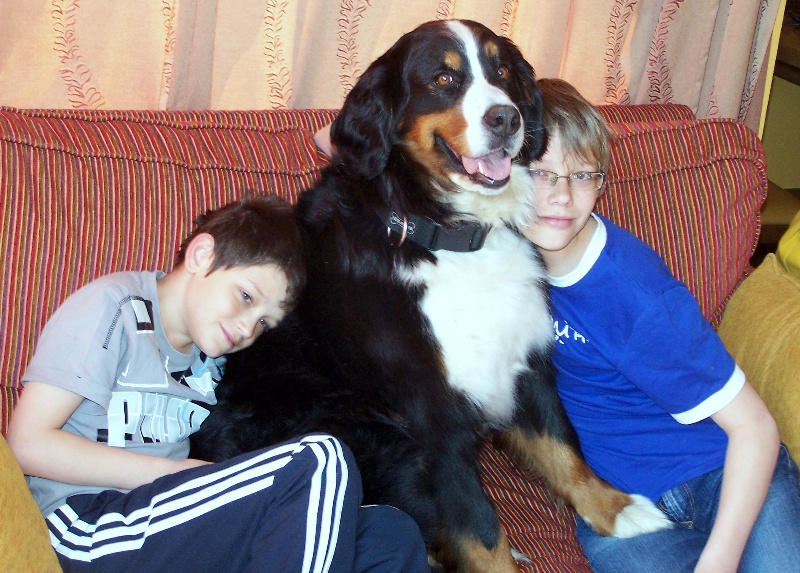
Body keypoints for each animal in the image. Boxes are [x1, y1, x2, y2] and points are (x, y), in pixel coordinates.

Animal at [191, 19, 669, 573]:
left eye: (502, 72)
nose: (506, 118)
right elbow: (481, 528)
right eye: (444, 79)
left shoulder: (524, 364)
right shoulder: (431, 416)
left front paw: (618, 510)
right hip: (354, 427)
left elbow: (562, 446)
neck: (449, 235)